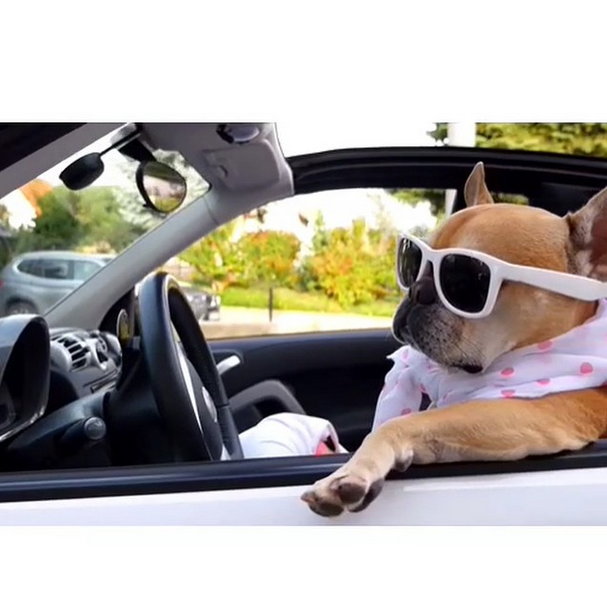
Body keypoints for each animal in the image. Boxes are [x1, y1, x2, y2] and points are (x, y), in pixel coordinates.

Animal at [301, 162, 607, 517]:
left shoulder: (533, 414)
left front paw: (349, 473)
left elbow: (403, 423)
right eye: (413, 261)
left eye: (467, 279)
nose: (417, 290)